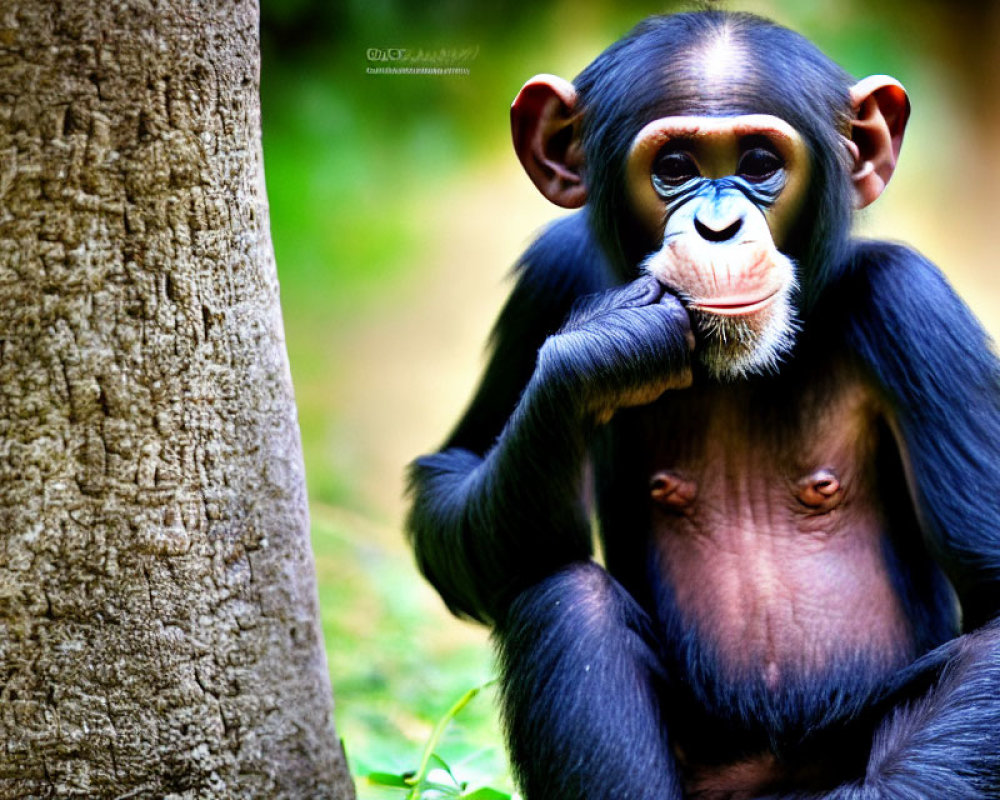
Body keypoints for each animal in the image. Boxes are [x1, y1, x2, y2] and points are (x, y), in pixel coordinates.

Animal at [404, 12, 1000, 800]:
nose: (718, 228)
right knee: (566, 599)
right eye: (677, 167)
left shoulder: (914, 307)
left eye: (759, 162)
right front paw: (603, 347)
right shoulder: (549, 277)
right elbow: (452, 474)